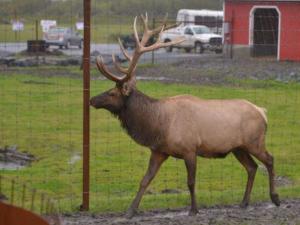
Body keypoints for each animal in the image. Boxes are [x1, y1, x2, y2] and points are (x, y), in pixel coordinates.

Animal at [89, 14, 282, 218]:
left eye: (112, 93)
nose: (92, 100)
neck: (158, 125)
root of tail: (262, 112)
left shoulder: (190, 149)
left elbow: (190, 182)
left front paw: (193, 209)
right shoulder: (159, 151)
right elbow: (145, 180)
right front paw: (130, 211)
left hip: (255, 141)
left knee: (269, 160)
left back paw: (275, 198)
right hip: (238, 147)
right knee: (252, 167)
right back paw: (244, 202)